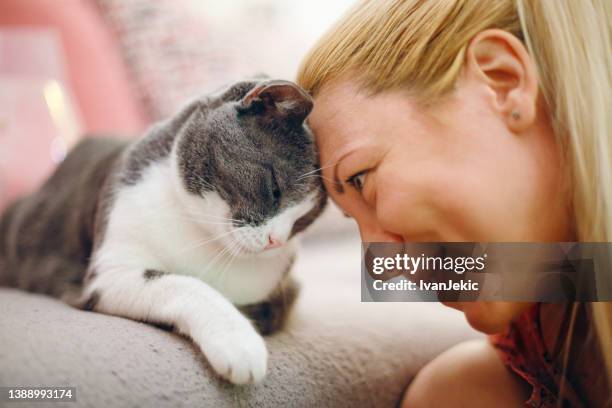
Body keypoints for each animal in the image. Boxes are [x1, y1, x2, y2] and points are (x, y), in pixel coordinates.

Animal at [0, 79, 328, 386]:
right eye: (275, 189)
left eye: (303, 221)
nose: (276, 241)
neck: (203, 236)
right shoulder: (110, 273)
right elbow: (185, 285)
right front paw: (239, 343)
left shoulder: (286, 287)